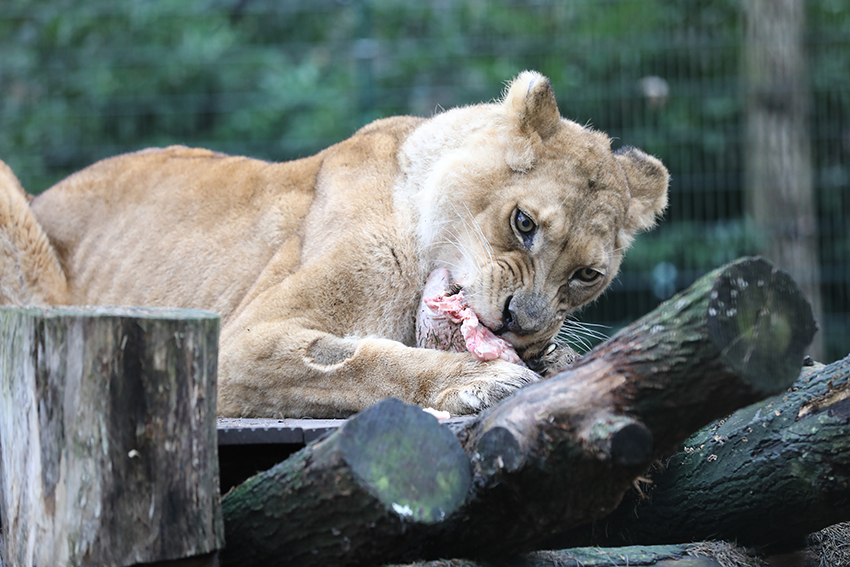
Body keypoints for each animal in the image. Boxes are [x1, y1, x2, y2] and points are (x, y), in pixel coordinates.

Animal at [0, 71, 668, 418]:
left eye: (586, 276)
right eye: (524, 223)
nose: (520, 324)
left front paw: (556, 361)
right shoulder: (238, 342)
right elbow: (359, 362)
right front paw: (480, 379)